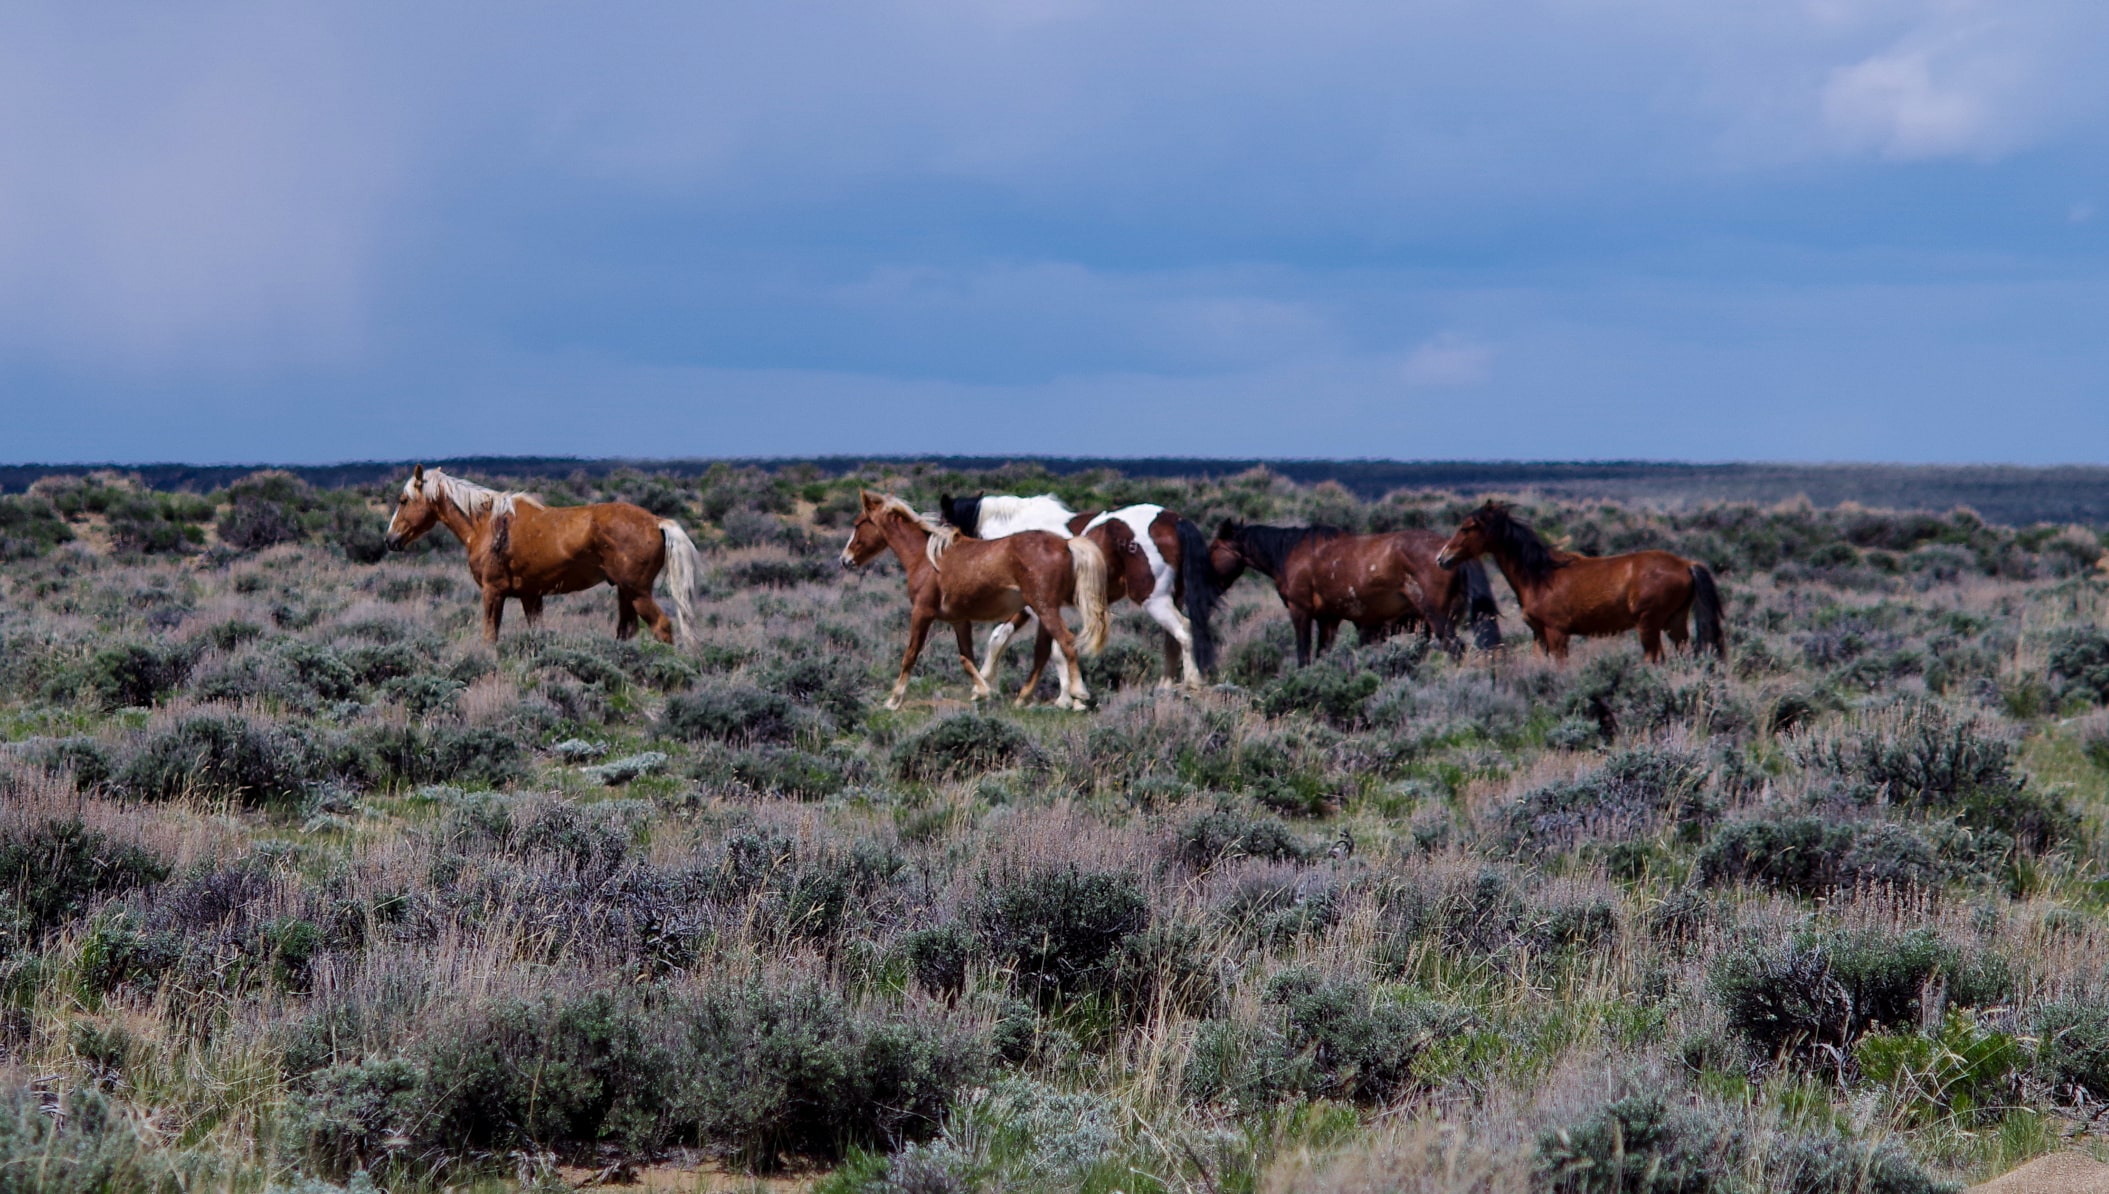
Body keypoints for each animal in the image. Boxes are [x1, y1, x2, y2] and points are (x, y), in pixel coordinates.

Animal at [385, 465, 703, 645]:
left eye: (403, 500)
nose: (390, 539)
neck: (487, 523)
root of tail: (657, 521)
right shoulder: (531, 596)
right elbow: (535, 633)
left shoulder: (493, 591)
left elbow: (490, 636)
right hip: (625, 592)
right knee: (627, 631)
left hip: (637, 592)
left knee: (662, 627)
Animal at [839, 491, 1109, 710]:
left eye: (857, 524)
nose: (844, 560)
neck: (925, 559)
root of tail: (1066, 543)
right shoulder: (959, 620)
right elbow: (966, 658)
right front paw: (983, 691)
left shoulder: (922, 613)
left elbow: (910, 655)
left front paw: (893, 700)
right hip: (1043, 611)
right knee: (1044, 650)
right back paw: (1024, 698)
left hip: (1044, 608)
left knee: (1066, 641)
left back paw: (1078, 693)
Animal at [938, 492, 1224, 690]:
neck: (1014, 535)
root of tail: (1174, 520)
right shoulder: (1030, 607)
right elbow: (1000, 636)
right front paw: (983, 684)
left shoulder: (1038, 607)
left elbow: (1056, 650)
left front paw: (1069, 695)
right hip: (1171, 598)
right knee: (1172, 638)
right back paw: (1165, 686)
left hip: (1154, 599)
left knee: (1184, 631)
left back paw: (1192, 682)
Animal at [1209, 521, 1502, 666]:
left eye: (1213, 548)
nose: (1209, 583)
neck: (1291, 553)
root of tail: (1451, 554)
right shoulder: (1328, 619)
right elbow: (1321, 654)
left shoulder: (1300, 611)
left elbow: (1303, 655)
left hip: (1438, 619)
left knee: (1456, 650)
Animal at [1435, 501, 1723, 663]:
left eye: (1467, 528)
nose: (1442, 558)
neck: (1540, 576)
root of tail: (1687, 565)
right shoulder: (1539, 634)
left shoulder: (1557, 633)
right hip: (1675, 623)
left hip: (1649, 625)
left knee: (1654, 659)